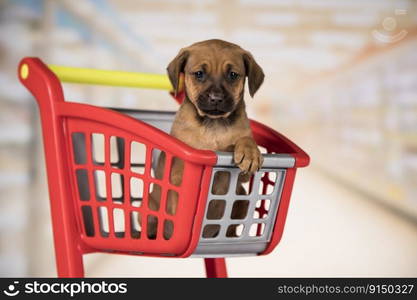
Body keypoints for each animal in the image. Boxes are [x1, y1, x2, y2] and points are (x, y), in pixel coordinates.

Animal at [146, 39, 264, 239]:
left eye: (233, 75)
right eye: (199, 74)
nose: (216, 98)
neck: (213, 124)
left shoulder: (243, 178)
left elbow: (244, 140)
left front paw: (250, 153)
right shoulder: (178, 174)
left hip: (242, 200)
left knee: (231, 228)